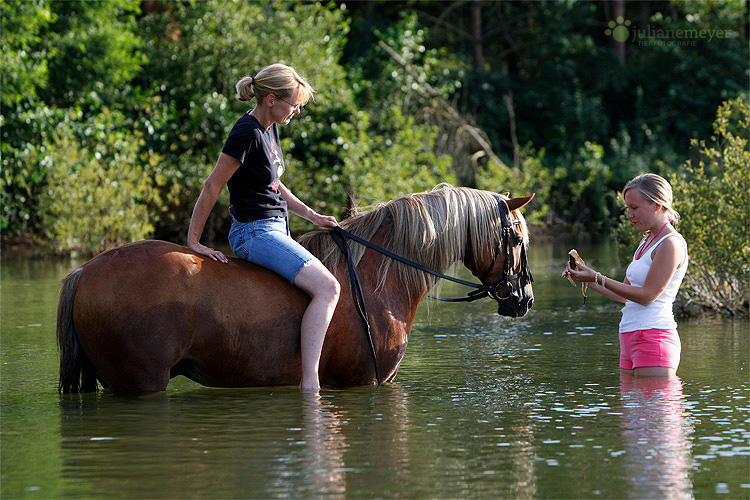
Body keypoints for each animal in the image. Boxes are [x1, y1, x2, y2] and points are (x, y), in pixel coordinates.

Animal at [57, 186, 536, 392]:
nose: (524, 300)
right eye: (515, 237)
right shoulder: (362, 382)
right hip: (140, 382)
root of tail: (86, 269)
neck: (379, 278)